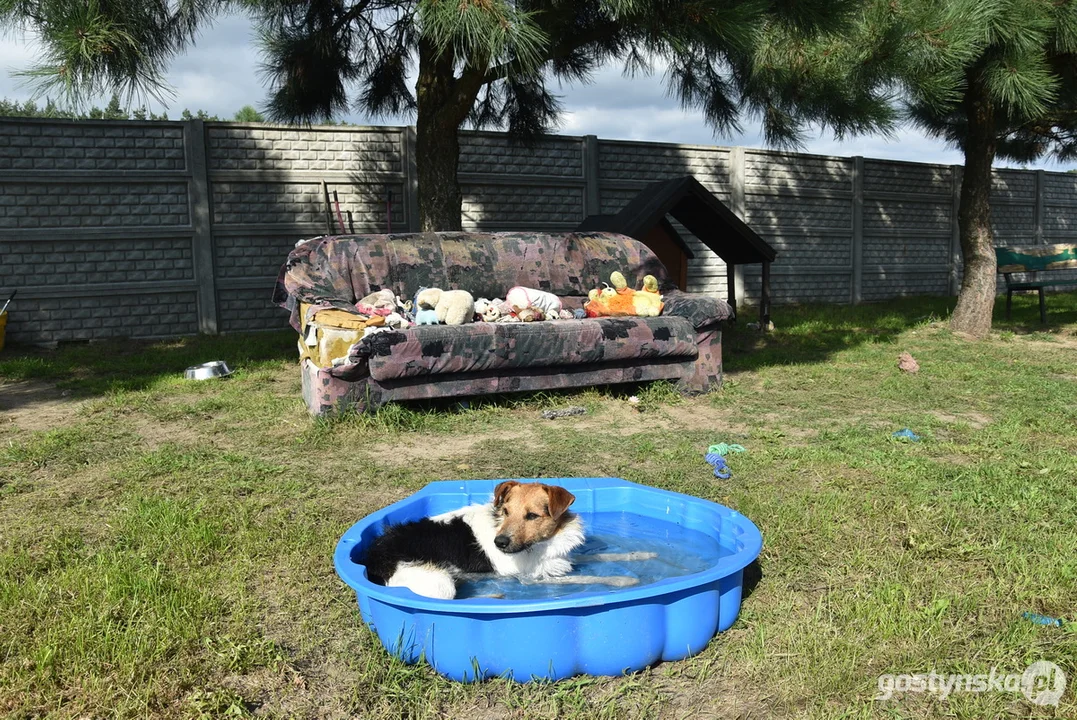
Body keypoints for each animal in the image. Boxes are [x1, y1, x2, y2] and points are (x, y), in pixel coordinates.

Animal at [361, 479, 650, 598]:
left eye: (532, 516)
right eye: (507, 511)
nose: (499, 544)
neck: (539, 545)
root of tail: (372, 558)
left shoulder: (555, 559)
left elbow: (598, 556)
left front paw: (643, 555)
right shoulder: (528, 578)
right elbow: (588, 576)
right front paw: (625, 580)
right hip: (437, 581)